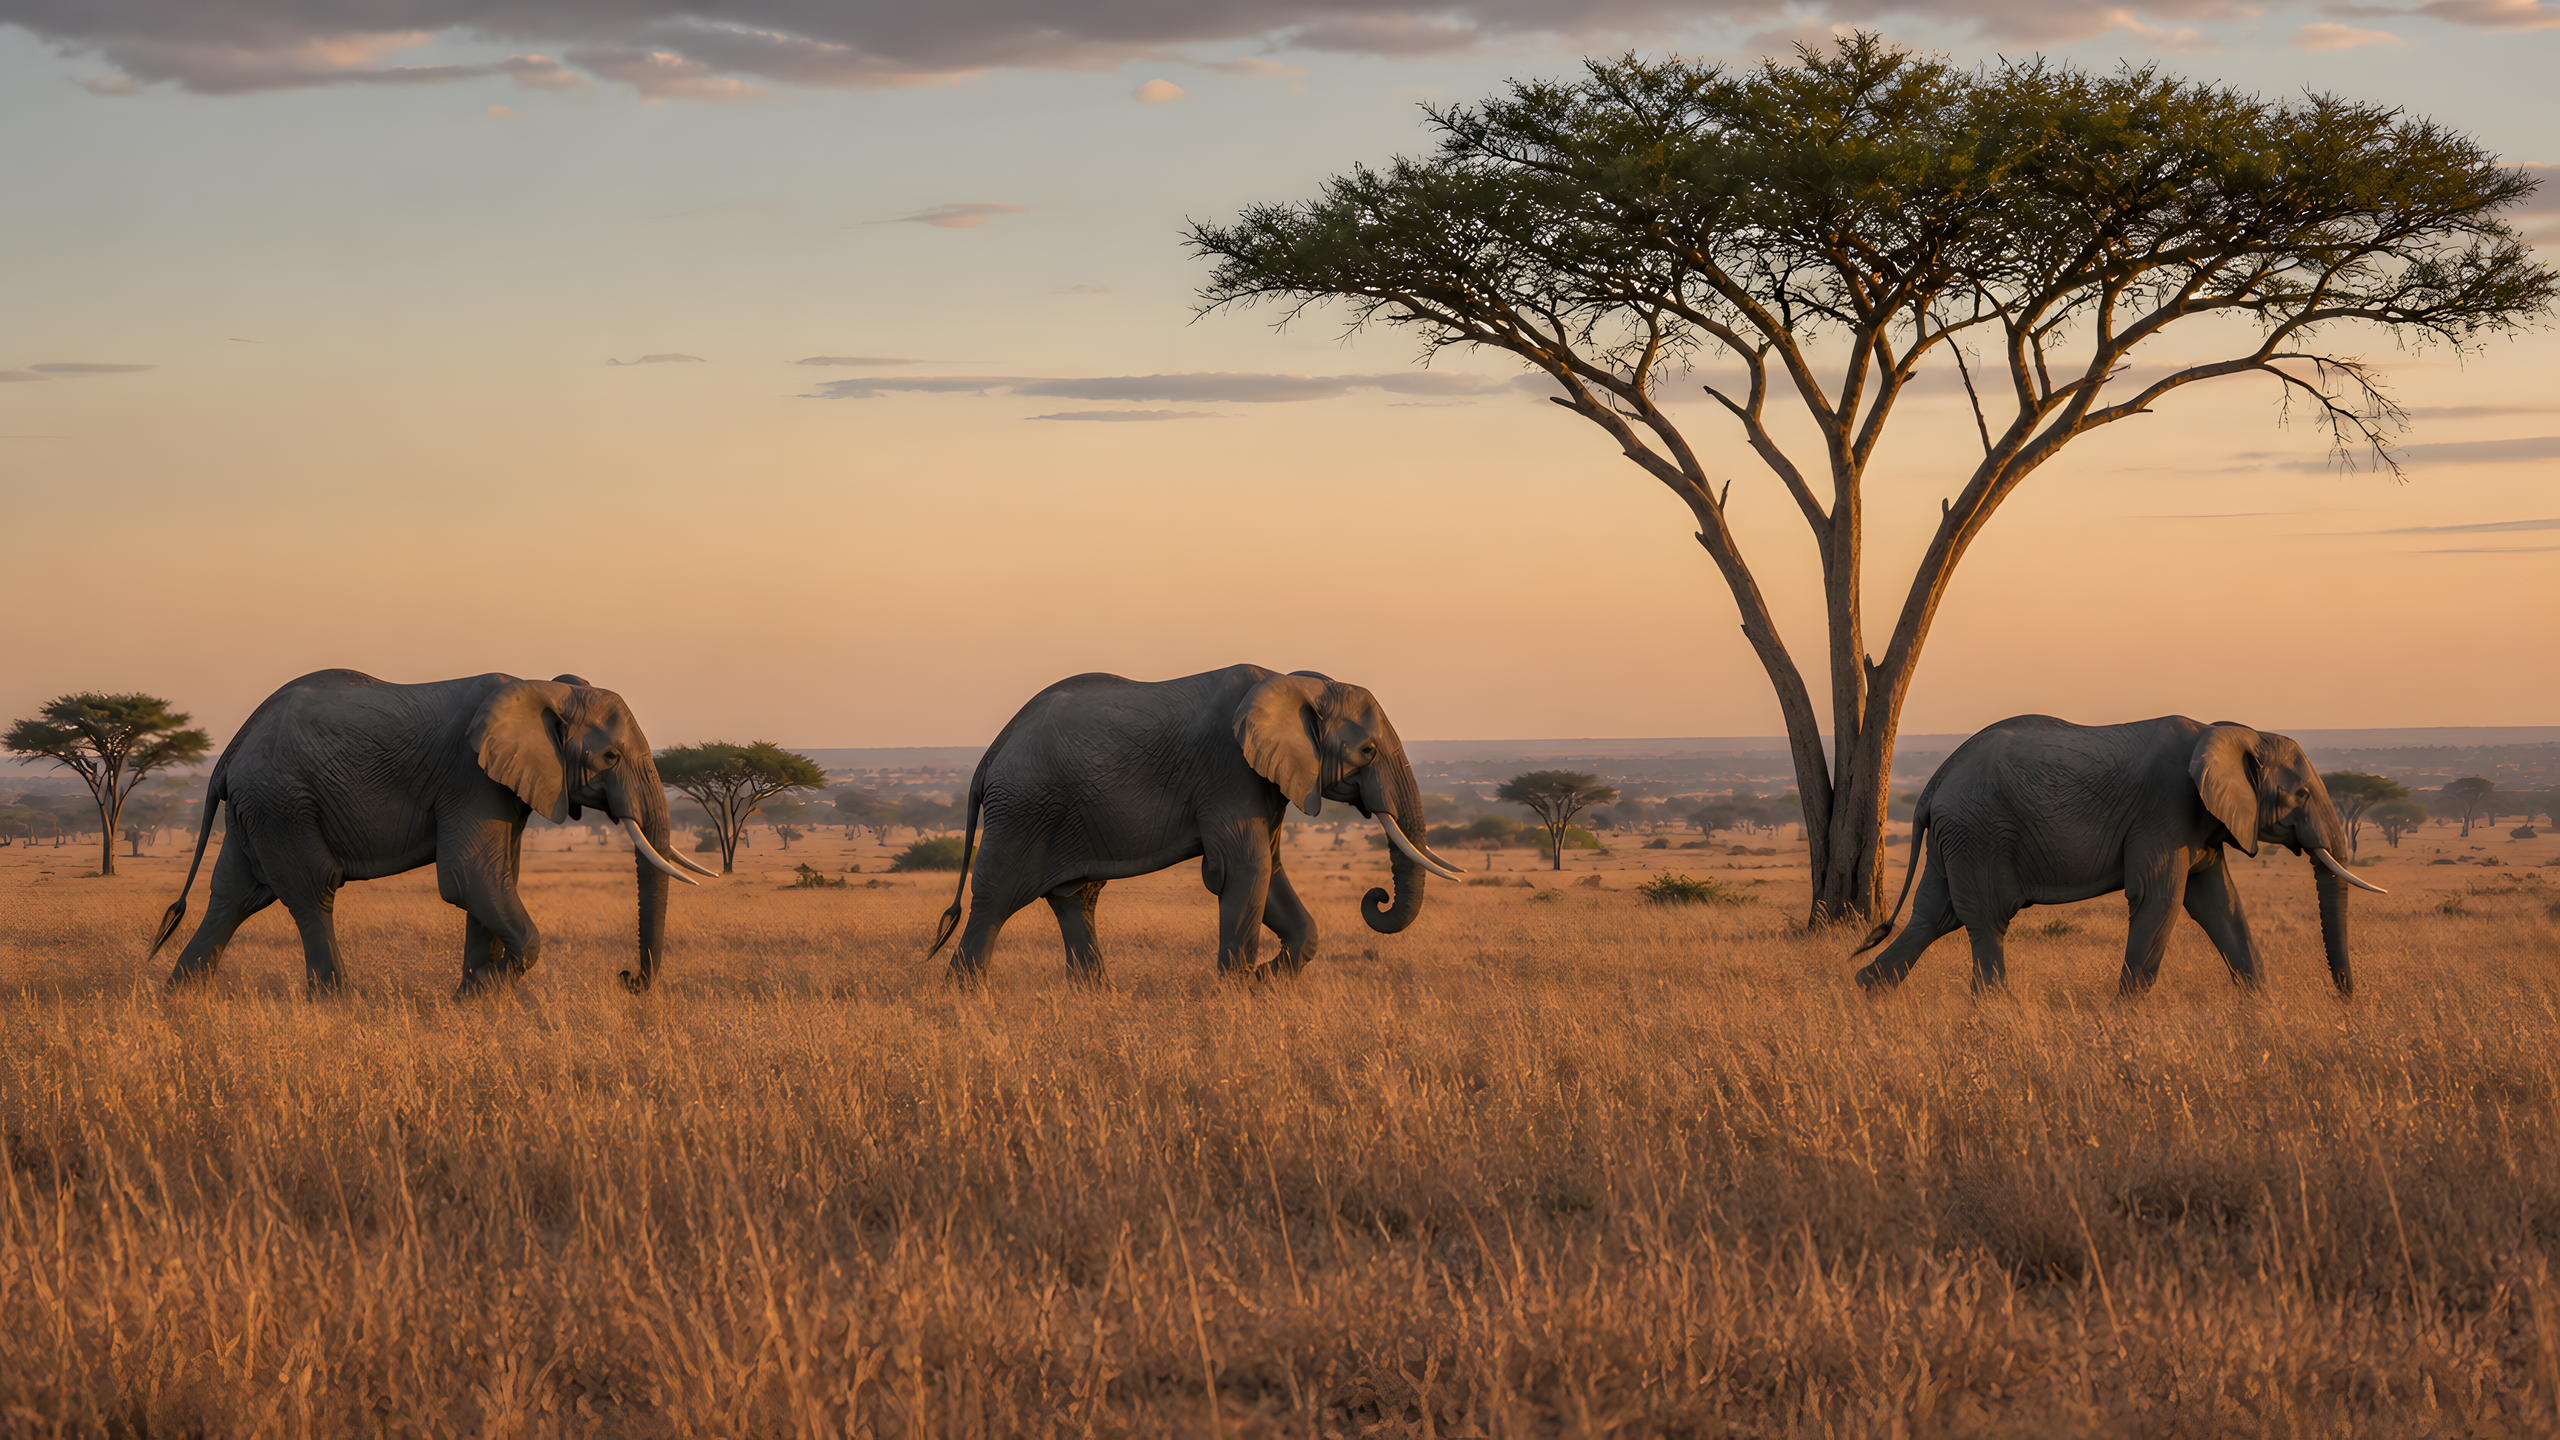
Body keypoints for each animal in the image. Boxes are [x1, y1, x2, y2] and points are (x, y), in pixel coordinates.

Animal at [148, 669, 716, 997]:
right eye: (611, 757)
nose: (628, 980)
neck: (548, 689)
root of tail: (230, 749)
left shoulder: (503, 783)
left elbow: (496, 877)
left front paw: (477, 999)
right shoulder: (470, 775)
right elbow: (470, 879)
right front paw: (488, 987)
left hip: (258, 806)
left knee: (234, 896)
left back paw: (179, 998)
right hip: (281, 800)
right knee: (313, 891)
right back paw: (339, 1003)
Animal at [925, 664, 1469, 983]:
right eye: (1368, 751)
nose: (1377, 896)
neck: (1297, 680)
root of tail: (990, 752)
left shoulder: (1264, 781)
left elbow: (1269, 873)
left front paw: (1264, 981)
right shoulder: (1229, 770)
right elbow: (1243, 870)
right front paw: (1238, 992)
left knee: (1076, 899)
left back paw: (1097, 1000)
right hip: (1022, 808)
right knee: (995, 899)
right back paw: (965, 1002)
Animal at [1851, 714, 2386, 997]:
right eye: (2301, 795)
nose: (2347, 1000)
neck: (2232, 730)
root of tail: (1934, 782)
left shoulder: (2200, 823)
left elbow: (2221, 905)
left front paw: (2262, 1007)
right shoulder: (2166, 810)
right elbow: (2160, 899)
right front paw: (2125, 1014)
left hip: (1957, 838)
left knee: (1932, 918)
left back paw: (1865, 991)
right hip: (1977, 833)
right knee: (1984, 920)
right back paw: (1995, 1009)